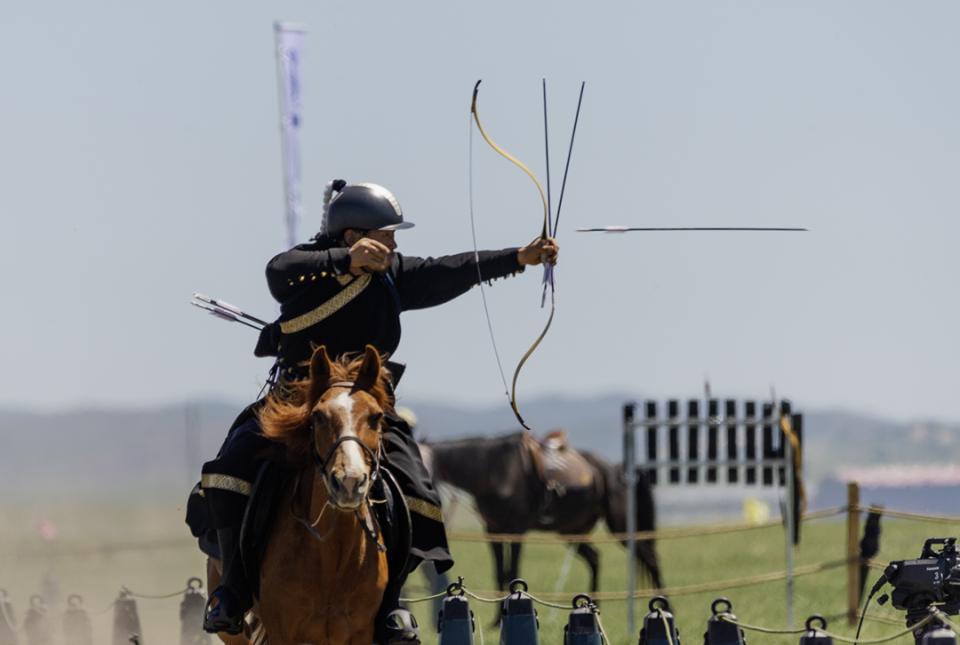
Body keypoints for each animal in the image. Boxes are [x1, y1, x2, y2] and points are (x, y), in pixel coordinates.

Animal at [209, 348, 390, 644]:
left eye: (376, 417)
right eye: (318, 416)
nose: (349, 482)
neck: (333, 558)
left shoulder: (361, 633)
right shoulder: (283, 633)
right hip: (232, 629)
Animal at [420, 430, 660, 596]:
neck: (495, 471)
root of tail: (617, 469)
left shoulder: (517, 530)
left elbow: (512, 572)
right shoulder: (493, 530)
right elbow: (499, 573)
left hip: (620, 527)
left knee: (650, 557)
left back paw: (663, 602)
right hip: (572, 531)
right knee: (595, 558)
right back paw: (594, 603)